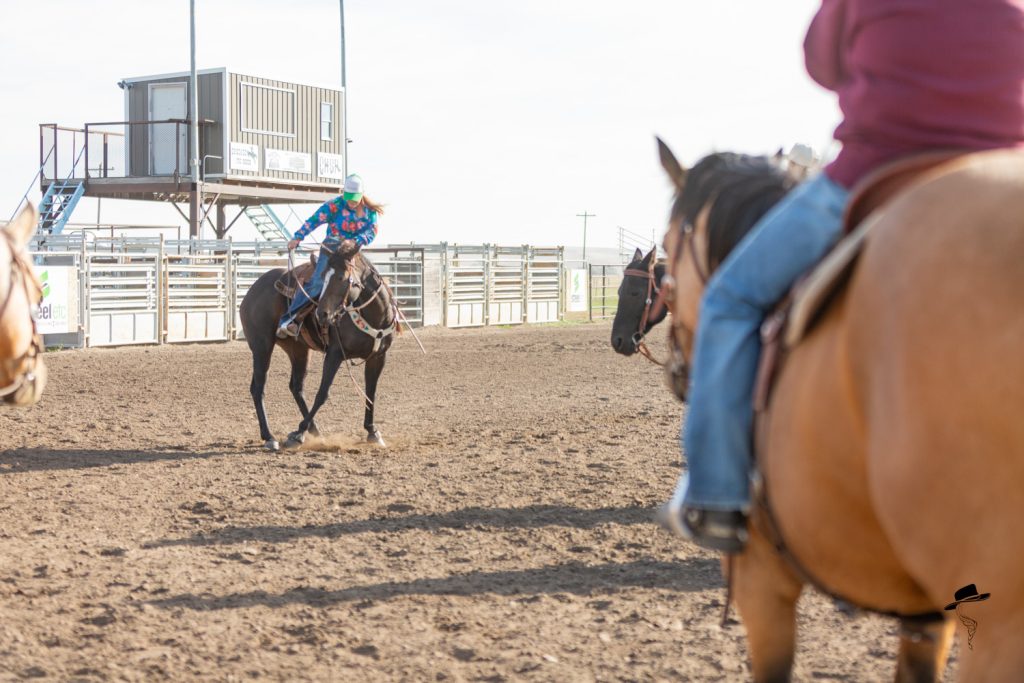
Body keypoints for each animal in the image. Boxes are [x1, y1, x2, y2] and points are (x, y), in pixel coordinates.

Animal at [239, 243, 397, 450]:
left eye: (341, 278)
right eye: (322, 279)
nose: (322, 314)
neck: (374, 315)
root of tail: (252, 290)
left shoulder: (378, 357)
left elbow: (371, 393)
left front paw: (373, 432)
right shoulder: (334, 354)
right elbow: (322, 393)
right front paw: (297, 434)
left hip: (298, 350)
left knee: (296, 387)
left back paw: (314, 430)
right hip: (261, 346)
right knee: (258, 388)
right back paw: (270, 436)